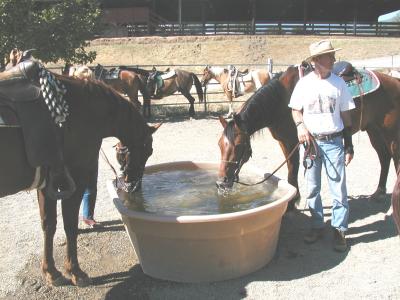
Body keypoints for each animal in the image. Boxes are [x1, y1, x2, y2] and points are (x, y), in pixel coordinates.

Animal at [0, 65, 159, 286]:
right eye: (148, 151)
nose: (134, 186)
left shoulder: (46, 185)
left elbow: (49, 225)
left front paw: (51, 272)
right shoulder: (75, 179)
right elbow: (70, 225)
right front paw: (75, 271)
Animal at [216, 62, 400, 227]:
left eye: (239, 145)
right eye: (220, 145)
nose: (221, 182)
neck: (282, 101)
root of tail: (394, 81)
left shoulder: (292, 141)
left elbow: (292, 172)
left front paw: (290, 207)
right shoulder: (284, 141)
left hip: (390, 134)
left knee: (394, 159)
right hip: (373, 130)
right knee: (384, 158)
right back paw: (378, 193)